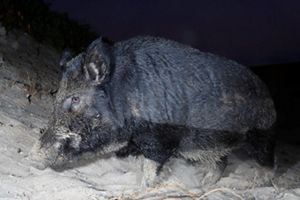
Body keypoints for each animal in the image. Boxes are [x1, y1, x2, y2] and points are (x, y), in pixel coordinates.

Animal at [31, 35, 276, 186]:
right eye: (57, 95)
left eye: (75, 98)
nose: (34, 157)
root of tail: (267, 91)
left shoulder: (160, 136)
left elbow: (151, 165)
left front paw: (143, 188)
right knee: (220, 161)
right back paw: (204, 184)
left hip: (262, 132)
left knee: (266, 158)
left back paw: (258, 182)